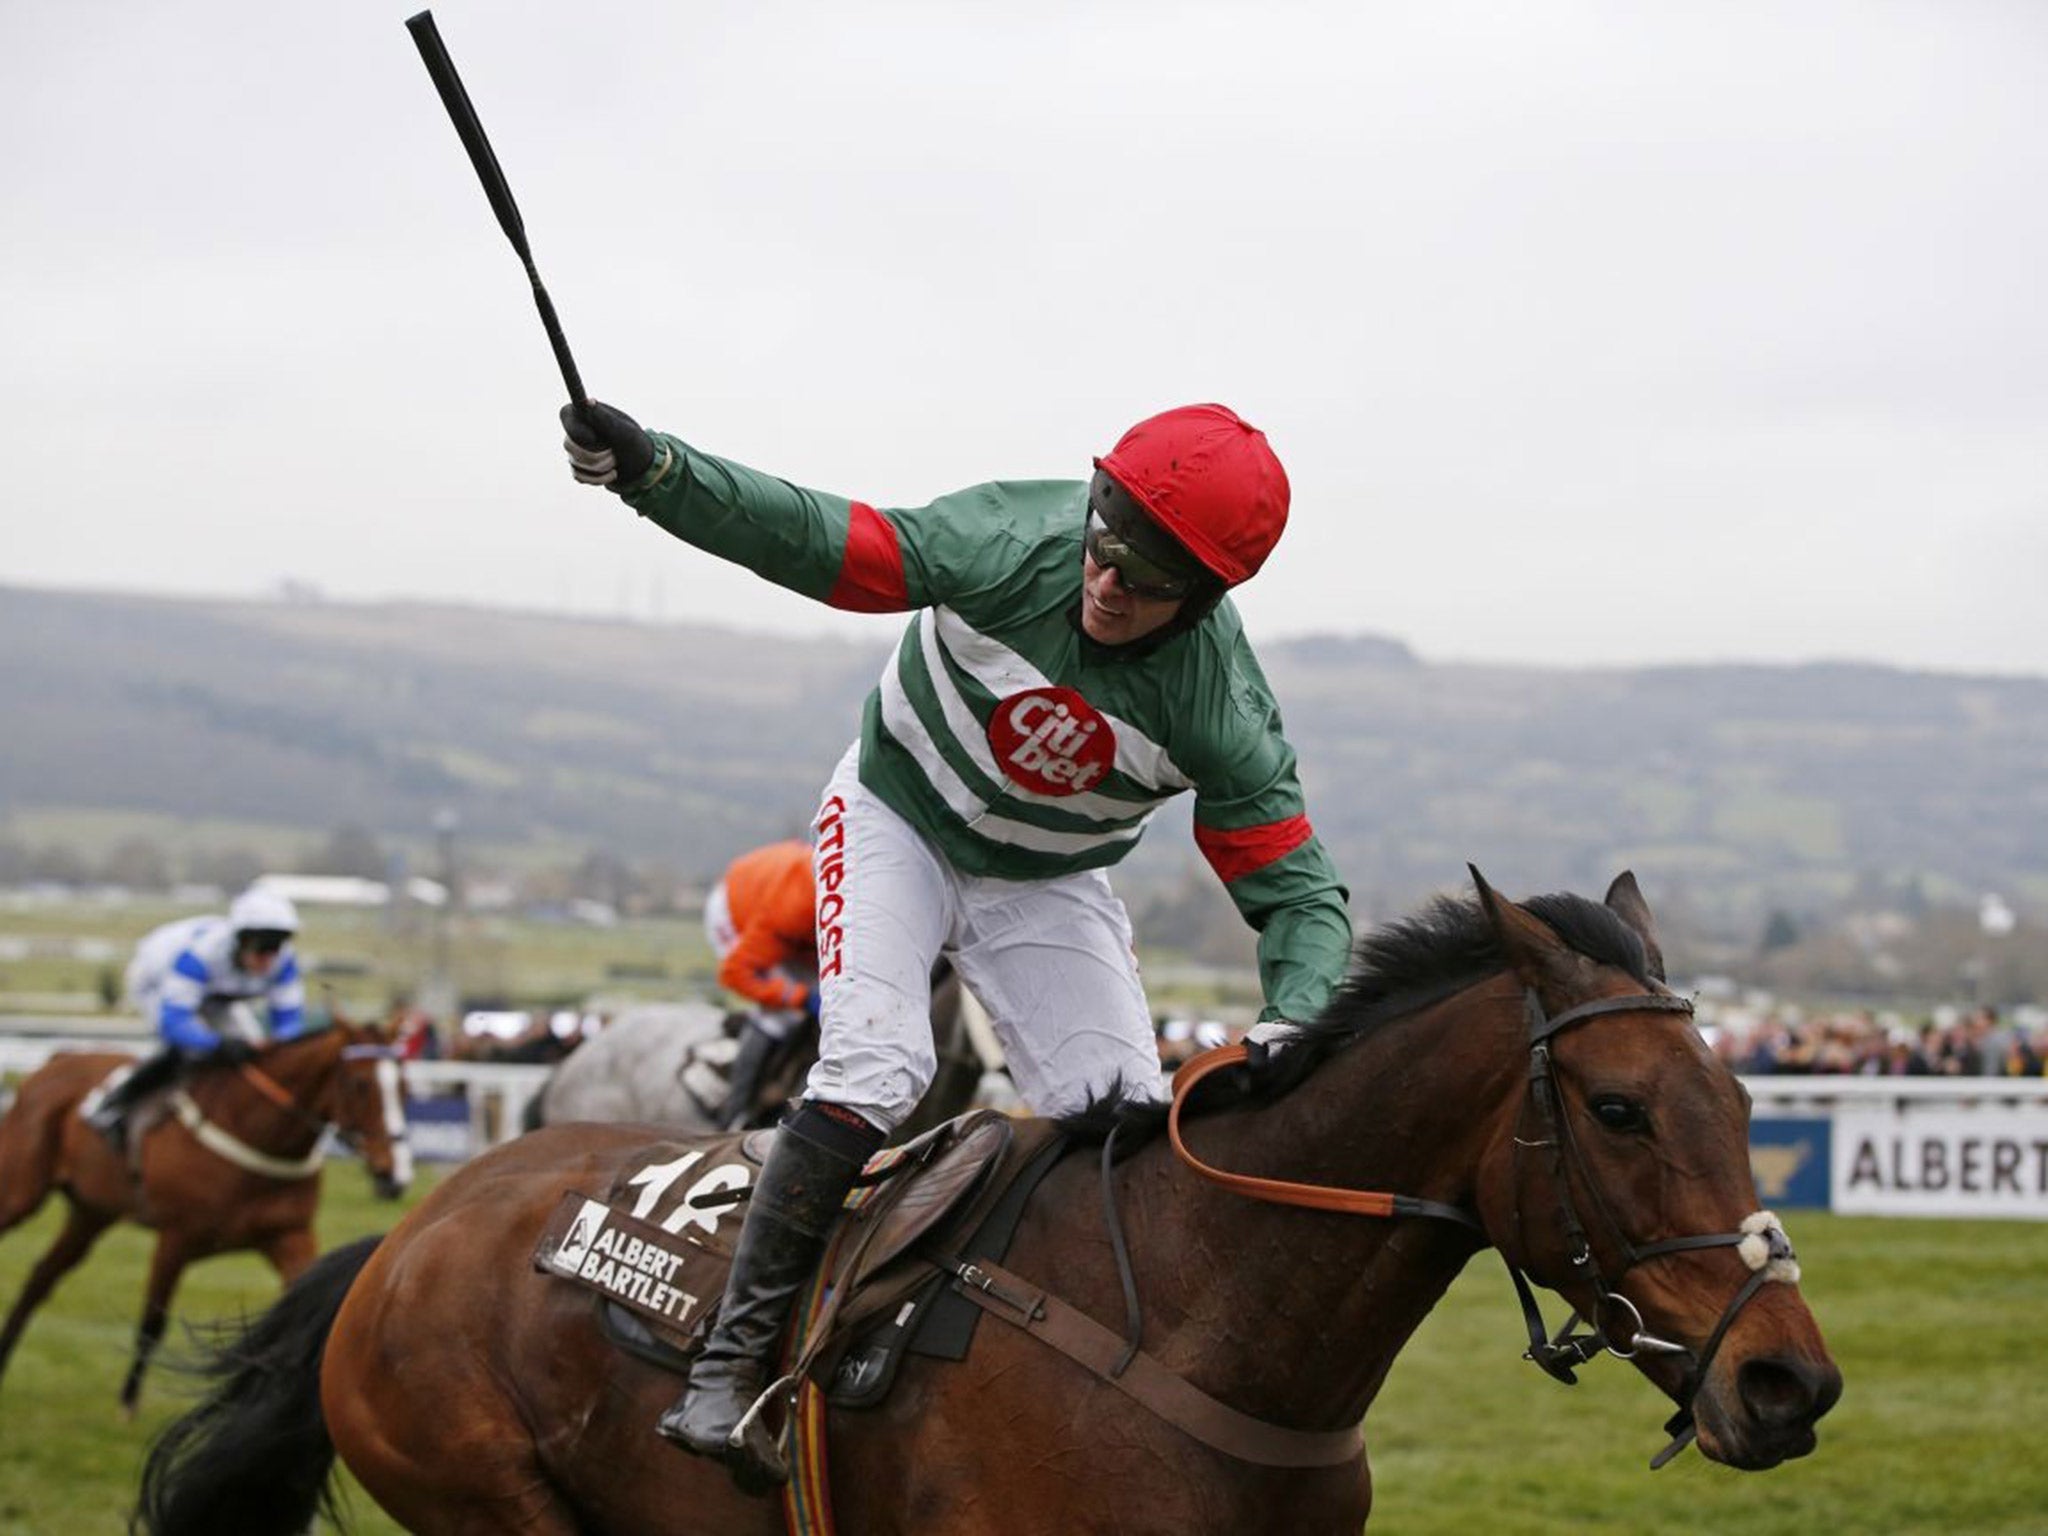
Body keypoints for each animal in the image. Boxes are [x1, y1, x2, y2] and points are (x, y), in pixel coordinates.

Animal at [0, 1024, 411, 1417]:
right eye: (360, 1083)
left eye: (405, 1087)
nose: (395, 1174)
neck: (257, 1132)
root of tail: (58, 1059)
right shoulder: (175, 1237)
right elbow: (152, 1323)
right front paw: (127, 1405)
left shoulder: (289, 1236)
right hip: (21, 1191)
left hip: (92, 1213)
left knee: (41, 1278)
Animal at [140, 876, 1843, 1536]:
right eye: (1619, 1111)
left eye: (1744, 1103)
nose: (1790, 1381)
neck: (1203, 1329)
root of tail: (404, 1237)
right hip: (484, 1495)